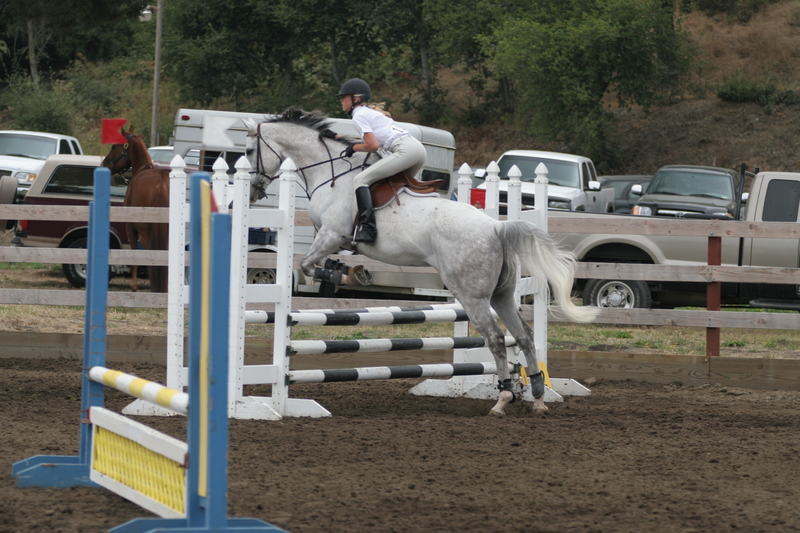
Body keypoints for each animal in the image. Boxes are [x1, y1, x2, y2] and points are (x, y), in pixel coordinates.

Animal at [103, 125, 169, 293]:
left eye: (114, 147)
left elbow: (134, 254)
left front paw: (134, 286)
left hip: (145, 231)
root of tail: (160, 184)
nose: (104, 164)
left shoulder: (130, 227)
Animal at [244, 108, 599, 416]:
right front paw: (350, 271)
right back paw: (537, 397)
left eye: (247, 151)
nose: (253, 192)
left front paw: (343, 276)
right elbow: (322, 263)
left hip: (472, 295)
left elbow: (307, 266)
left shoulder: (332, 234)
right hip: (501, 294)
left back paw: (503, 398)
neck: (329, 174)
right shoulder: (333, 239)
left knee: (497, 339)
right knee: (523, 336)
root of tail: (497, 227)